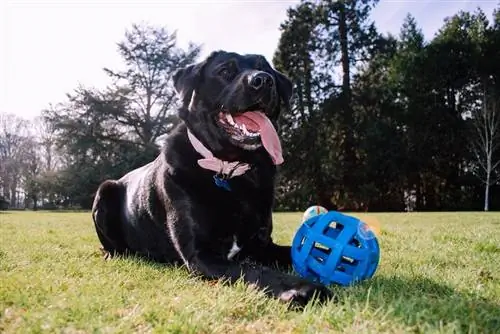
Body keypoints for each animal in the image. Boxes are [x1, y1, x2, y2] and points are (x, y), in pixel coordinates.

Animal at [92, 50, 334, 308]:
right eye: (225, 70)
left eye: (266, 69)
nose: (263, 80)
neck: (229, 170)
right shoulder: (201, 254)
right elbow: (255, 270)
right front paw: (301, 288)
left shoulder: (262, 245)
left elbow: (303, 253)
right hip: (104, 190)